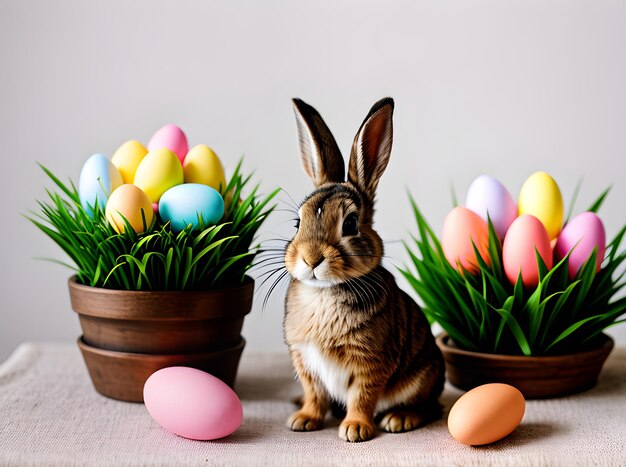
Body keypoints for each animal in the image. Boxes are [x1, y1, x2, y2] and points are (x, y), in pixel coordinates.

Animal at [282, 98, 444, 442]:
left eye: (350, 223)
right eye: (298, 222)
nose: (311, 259)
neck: (324, 291)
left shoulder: (370, 363)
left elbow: (363, 396)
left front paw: (355, 429)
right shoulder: (305, 360)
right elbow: (314, 393)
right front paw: (303, 420)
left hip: (423, 377)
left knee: (429, 408)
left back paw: (399, 419)